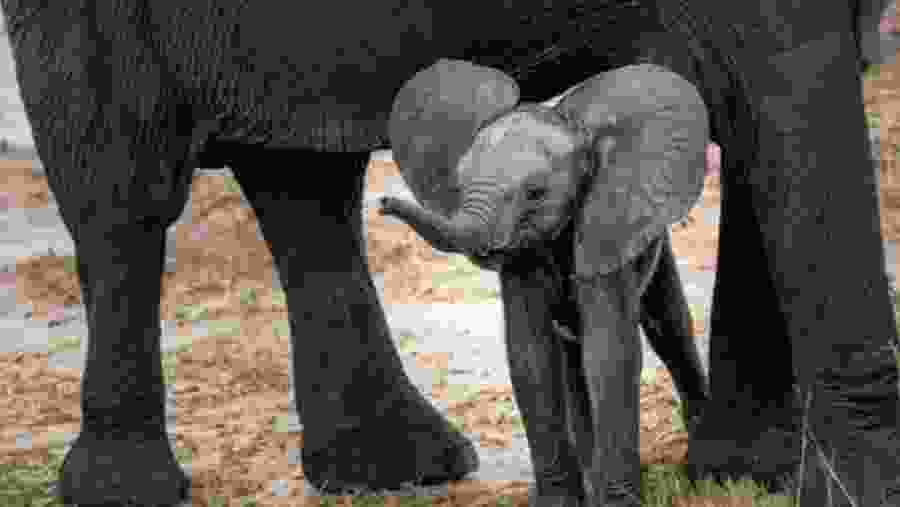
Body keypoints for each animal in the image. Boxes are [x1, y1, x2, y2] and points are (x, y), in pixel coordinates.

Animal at [379, 60, 712, 507]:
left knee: (669, 327)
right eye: (459, 183)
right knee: (573, 361)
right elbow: (530, 354)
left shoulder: (606, 225)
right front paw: (562, 501)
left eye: (535, 193)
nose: (382, 203)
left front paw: (616, 501)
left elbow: (611, 351)